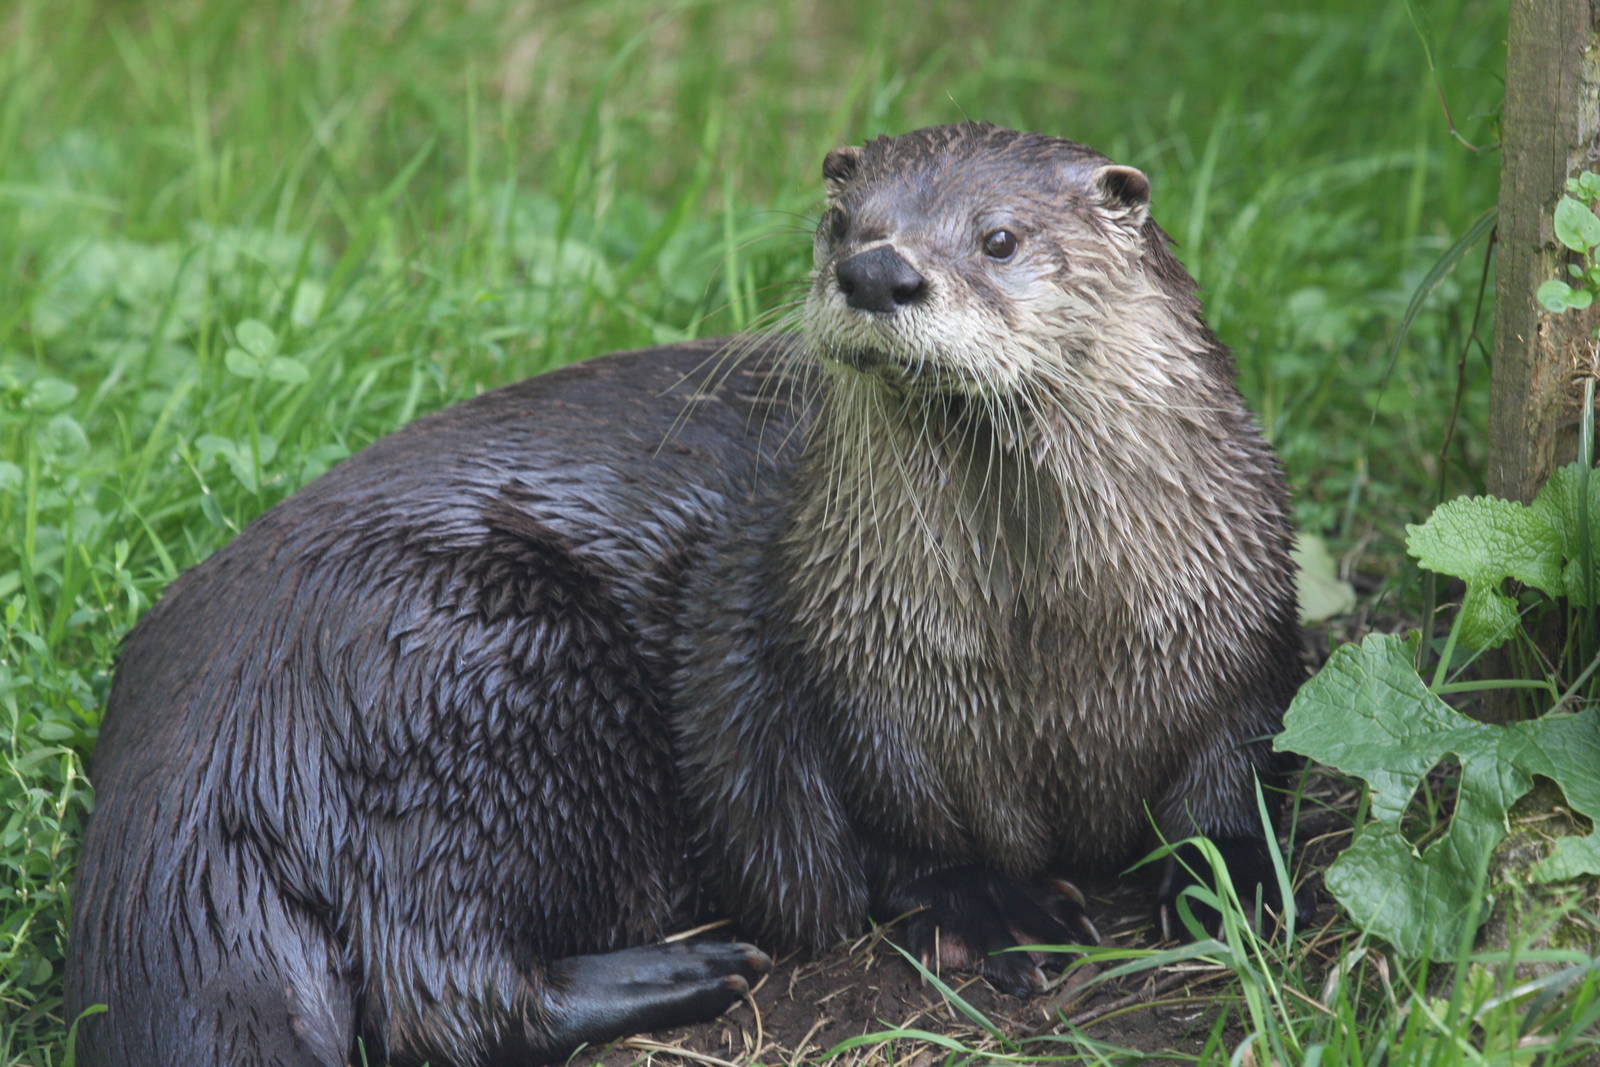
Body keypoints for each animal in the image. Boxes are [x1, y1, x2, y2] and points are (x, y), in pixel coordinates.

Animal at [68, 122, 1302, 1066]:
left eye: (1000, 238)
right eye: (842, 226)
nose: (877, 271)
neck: (1046, 645)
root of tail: (200, 757)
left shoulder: (1241, 629)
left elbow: (1231, 774)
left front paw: (1230, 887)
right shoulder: (846, 678)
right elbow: (898, 830)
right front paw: (988, 903)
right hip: (474, 671)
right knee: (441, 992)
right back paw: (689, 968)